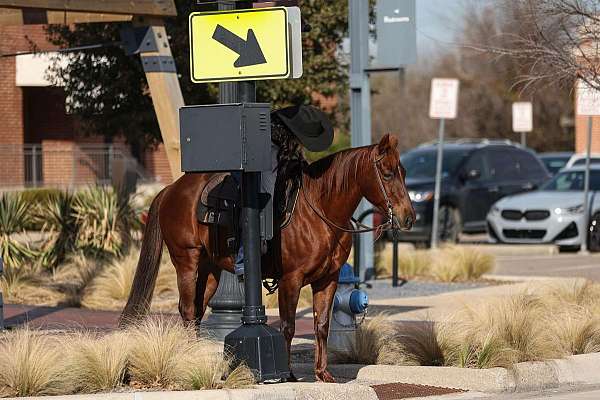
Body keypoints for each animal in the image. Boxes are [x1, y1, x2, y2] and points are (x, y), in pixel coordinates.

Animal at [119, 134, 414, 382]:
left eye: (404, 172)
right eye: (387, 174)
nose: (408, 217)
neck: (320, 212)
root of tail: (170, 189)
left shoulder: (328, 280)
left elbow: (321, 325)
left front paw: (323, 374)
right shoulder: (291, 280)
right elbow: (288, 326)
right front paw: (288, 373)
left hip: (210, 271)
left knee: (196, 312)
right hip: (187, 262)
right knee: (189, 310)